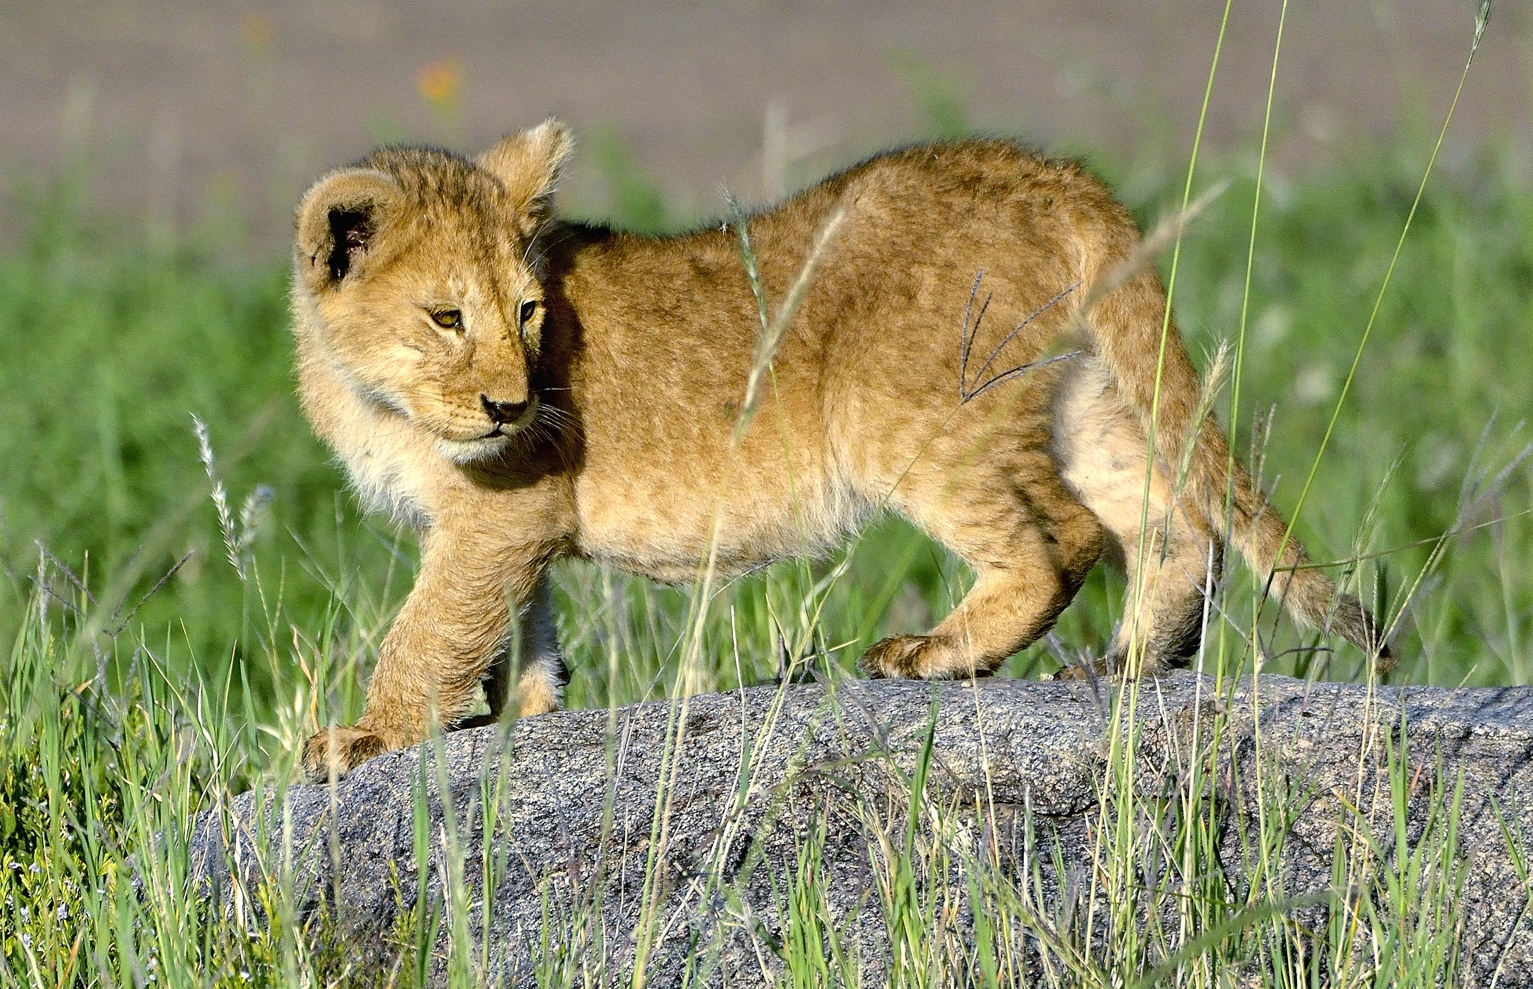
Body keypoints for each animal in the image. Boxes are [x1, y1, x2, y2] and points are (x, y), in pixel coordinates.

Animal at [292, 119, 1388, 778]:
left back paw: (936, 652)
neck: (369, 390)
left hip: (896, 415)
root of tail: (1042, 171)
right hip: (1084, 393)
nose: (512, 403)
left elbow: (431, 629)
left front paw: (369, 735)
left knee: (1062, 537)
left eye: (526, 312)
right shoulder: (511, 526)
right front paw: (522, 710)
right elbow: (519, 623)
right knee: (1171, 520)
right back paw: (1125, 666)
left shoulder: (501, 509)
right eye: (447, 316)